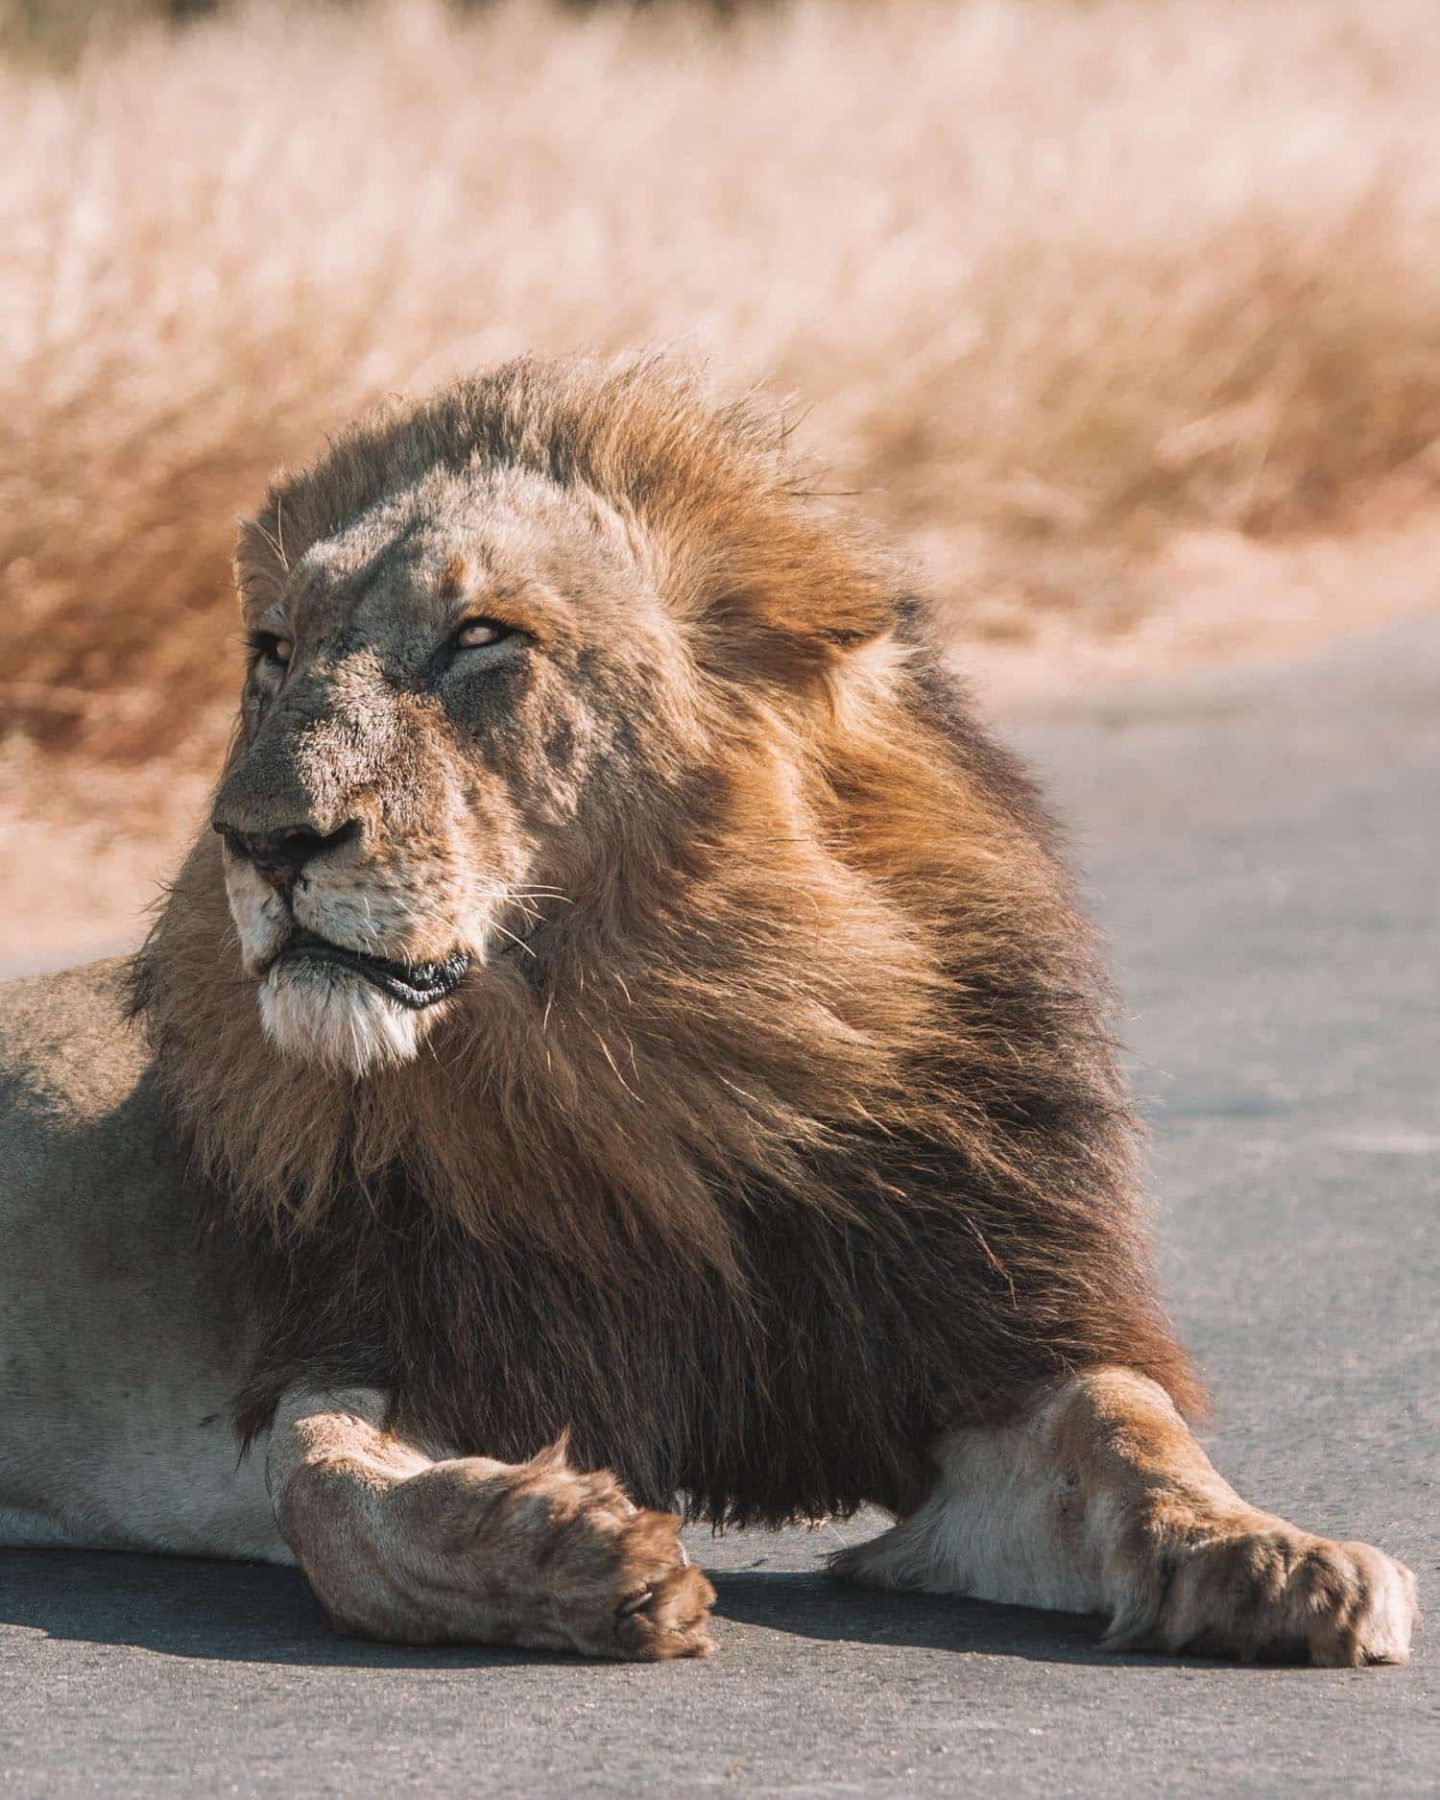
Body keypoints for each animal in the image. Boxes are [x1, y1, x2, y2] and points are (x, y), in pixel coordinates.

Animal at [0, 358, 1418, 1663]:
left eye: (481, 637)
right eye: (274, 650)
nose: (262, 840)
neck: (640, 1055)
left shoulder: (982, 1344)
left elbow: (1130, 1431)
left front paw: (1273, 1558)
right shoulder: (386, 1328)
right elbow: (333, 1498)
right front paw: (565, 1555)